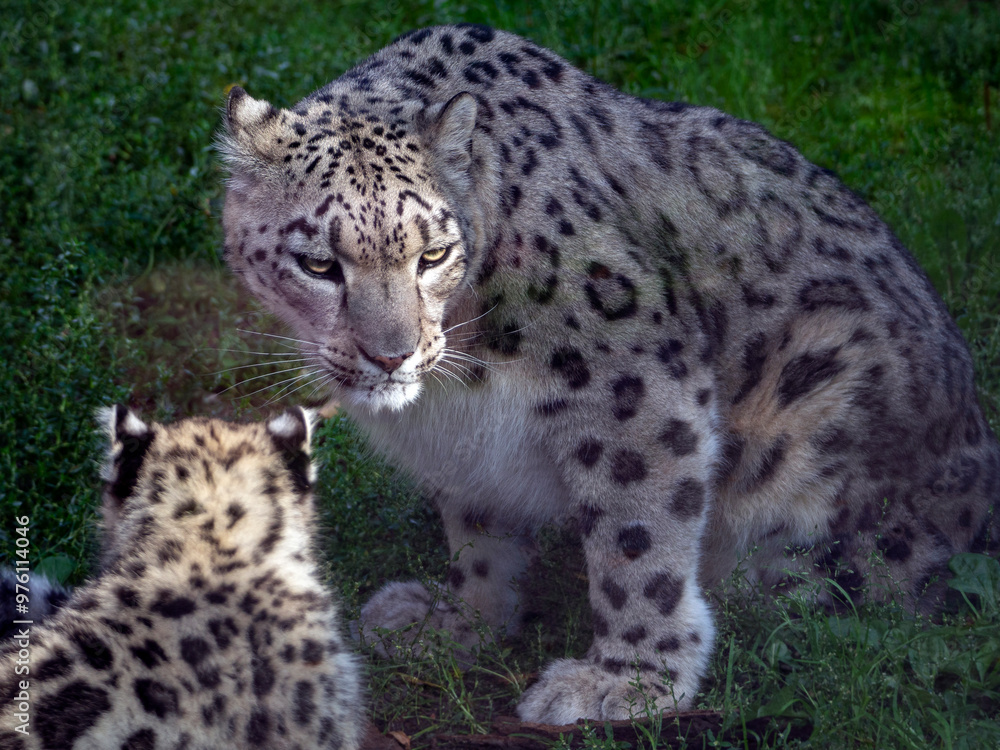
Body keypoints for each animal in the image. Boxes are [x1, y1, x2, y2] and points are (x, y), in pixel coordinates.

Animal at [217, 24, 1000, 723]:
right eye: (319, 263)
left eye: (433, 253)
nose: (393, 354)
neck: (458, 378)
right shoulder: (464, 440)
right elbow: (478, 529)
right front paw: (462, 622)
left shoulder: (630, 380)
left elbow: (638, 533)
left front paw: (628, 679)